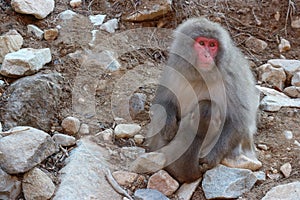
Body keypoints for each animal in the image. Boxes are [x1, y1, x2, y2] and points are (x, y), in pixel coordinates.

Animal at [146, 17, 262, 183]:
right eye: (202, 43)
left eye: (212, 45)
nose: (207, 55)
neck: (201, 74)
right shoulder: (174, 67)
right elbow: (162, 101)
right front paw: (168, 126)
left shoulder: (232, 77)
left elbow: (238, 120)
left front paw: (211, 157)